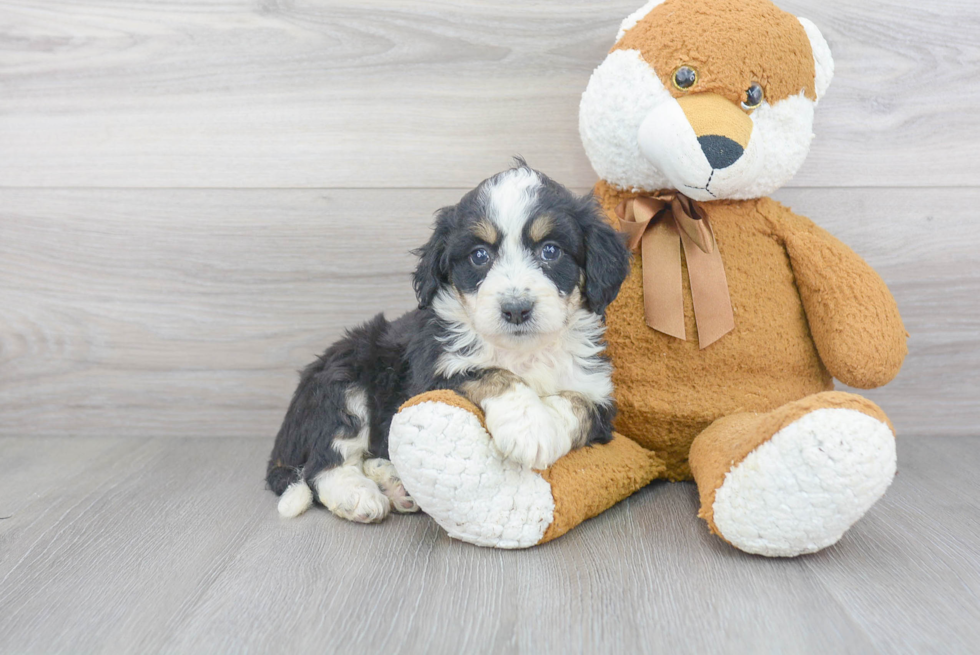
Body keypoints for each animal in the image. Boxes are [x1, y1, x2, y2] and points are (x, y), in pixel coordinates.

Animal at [266, 161, 628, 524]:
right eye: (479, 255)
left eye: (550, 250)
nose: (516, 309)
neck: (523, 351)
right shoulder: (433, 375)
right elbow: (493, 374)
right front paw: (528, 427)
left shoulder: (600, 398)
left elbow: (576, 403)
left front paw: (545, 423)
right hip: (343, 383)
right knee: (322, 464)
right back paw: (358, 496)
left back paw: (395, 483)